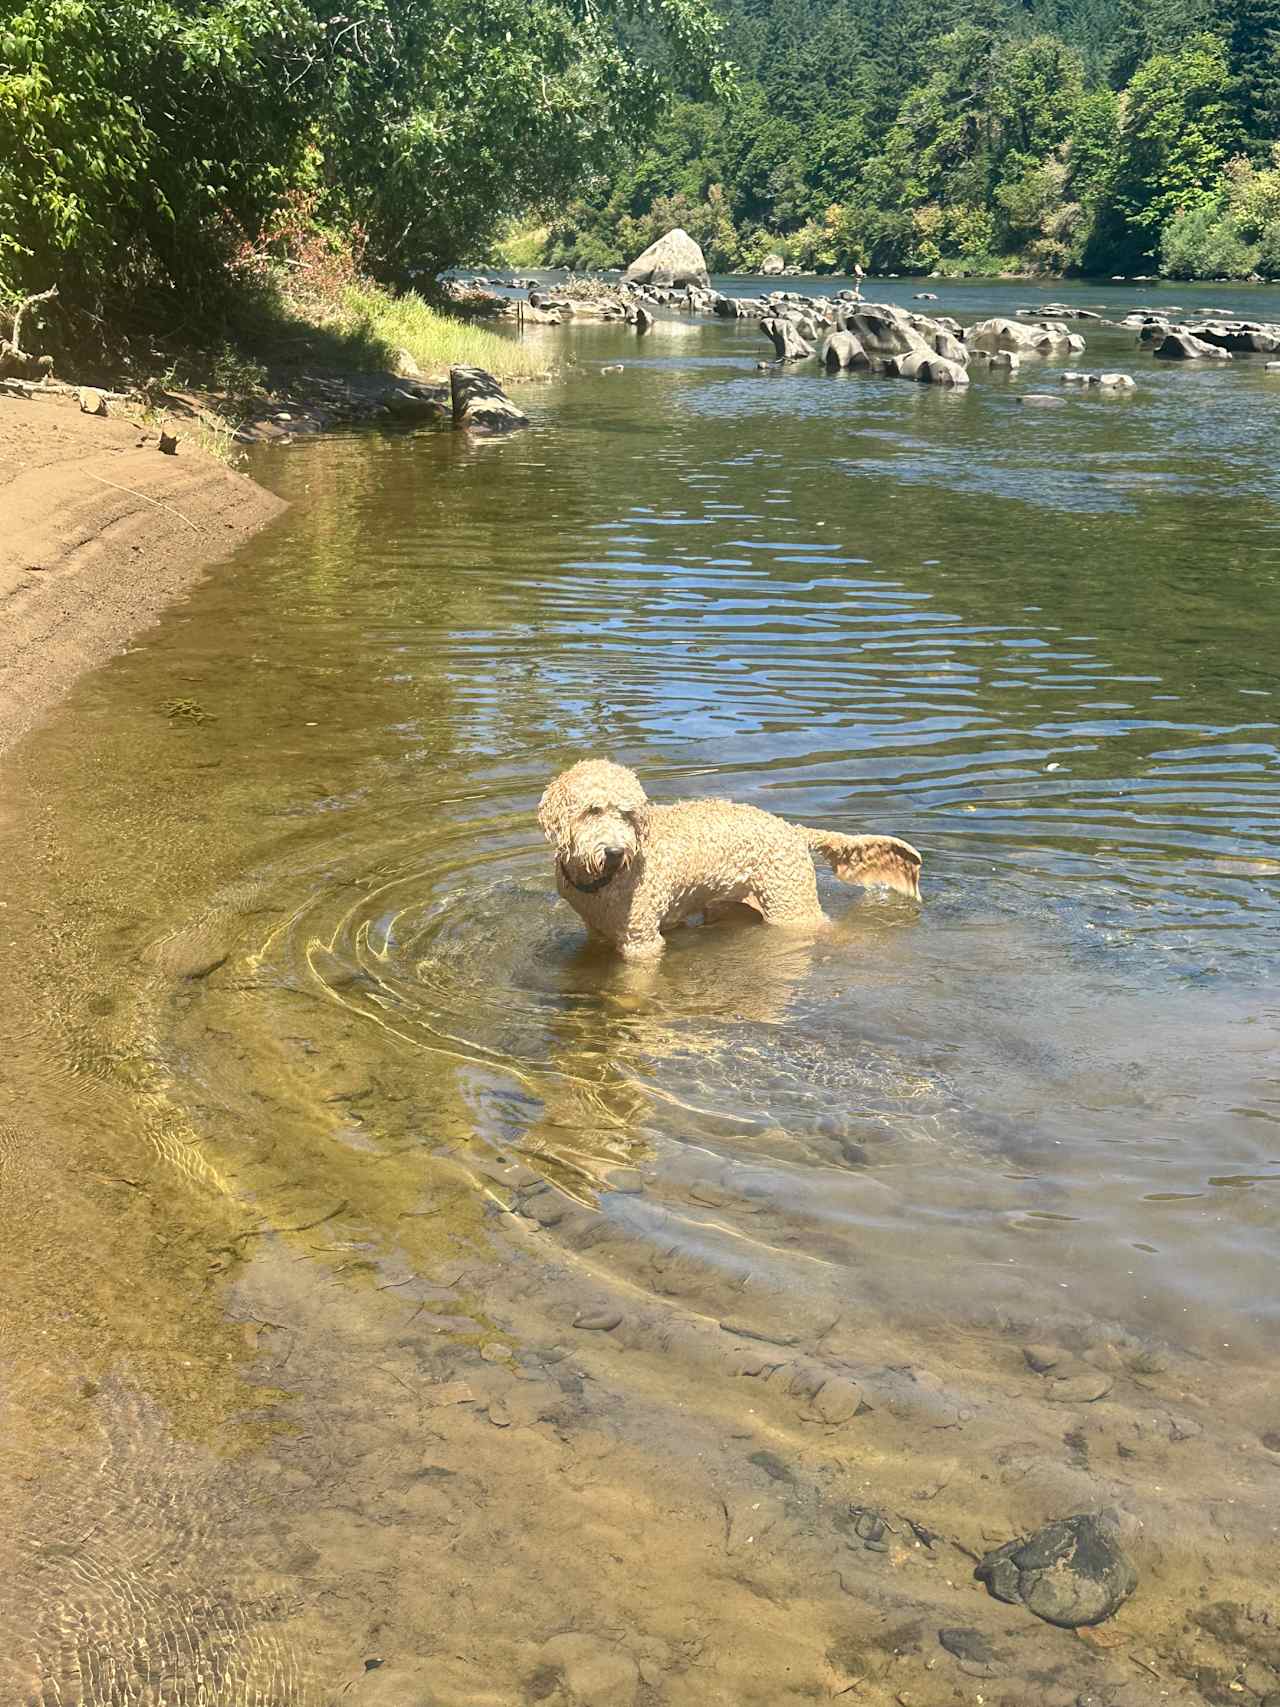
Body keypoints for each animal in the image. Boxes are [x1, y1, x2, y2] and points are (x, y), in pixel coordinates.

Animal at [539, 761, 921, 962]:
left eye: (628, 815)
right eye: (593, 810)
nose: (616, 852)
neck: (602, 883)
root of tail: (793, 830)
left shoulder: (641, 942)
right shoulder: (596, 930)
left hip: (791, 907)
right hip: (736, 904)